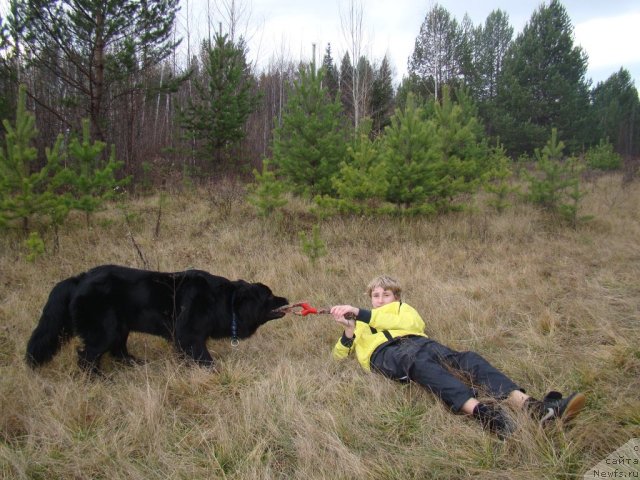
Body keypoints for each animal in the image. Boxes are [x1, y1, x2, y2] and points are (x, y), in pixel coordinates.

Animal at [25, 264, 288, 374]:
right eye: (269, 296)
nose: (285, 298)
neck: (224, 302)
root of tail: (79, 279)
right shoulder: (189, 336)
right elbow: (204, 358)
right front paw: (215, 373)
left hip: (120, 326)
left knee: (118, 350)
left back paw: (135, 364)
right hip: (105, 329)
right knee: (88, 356)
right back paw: (98, 379)